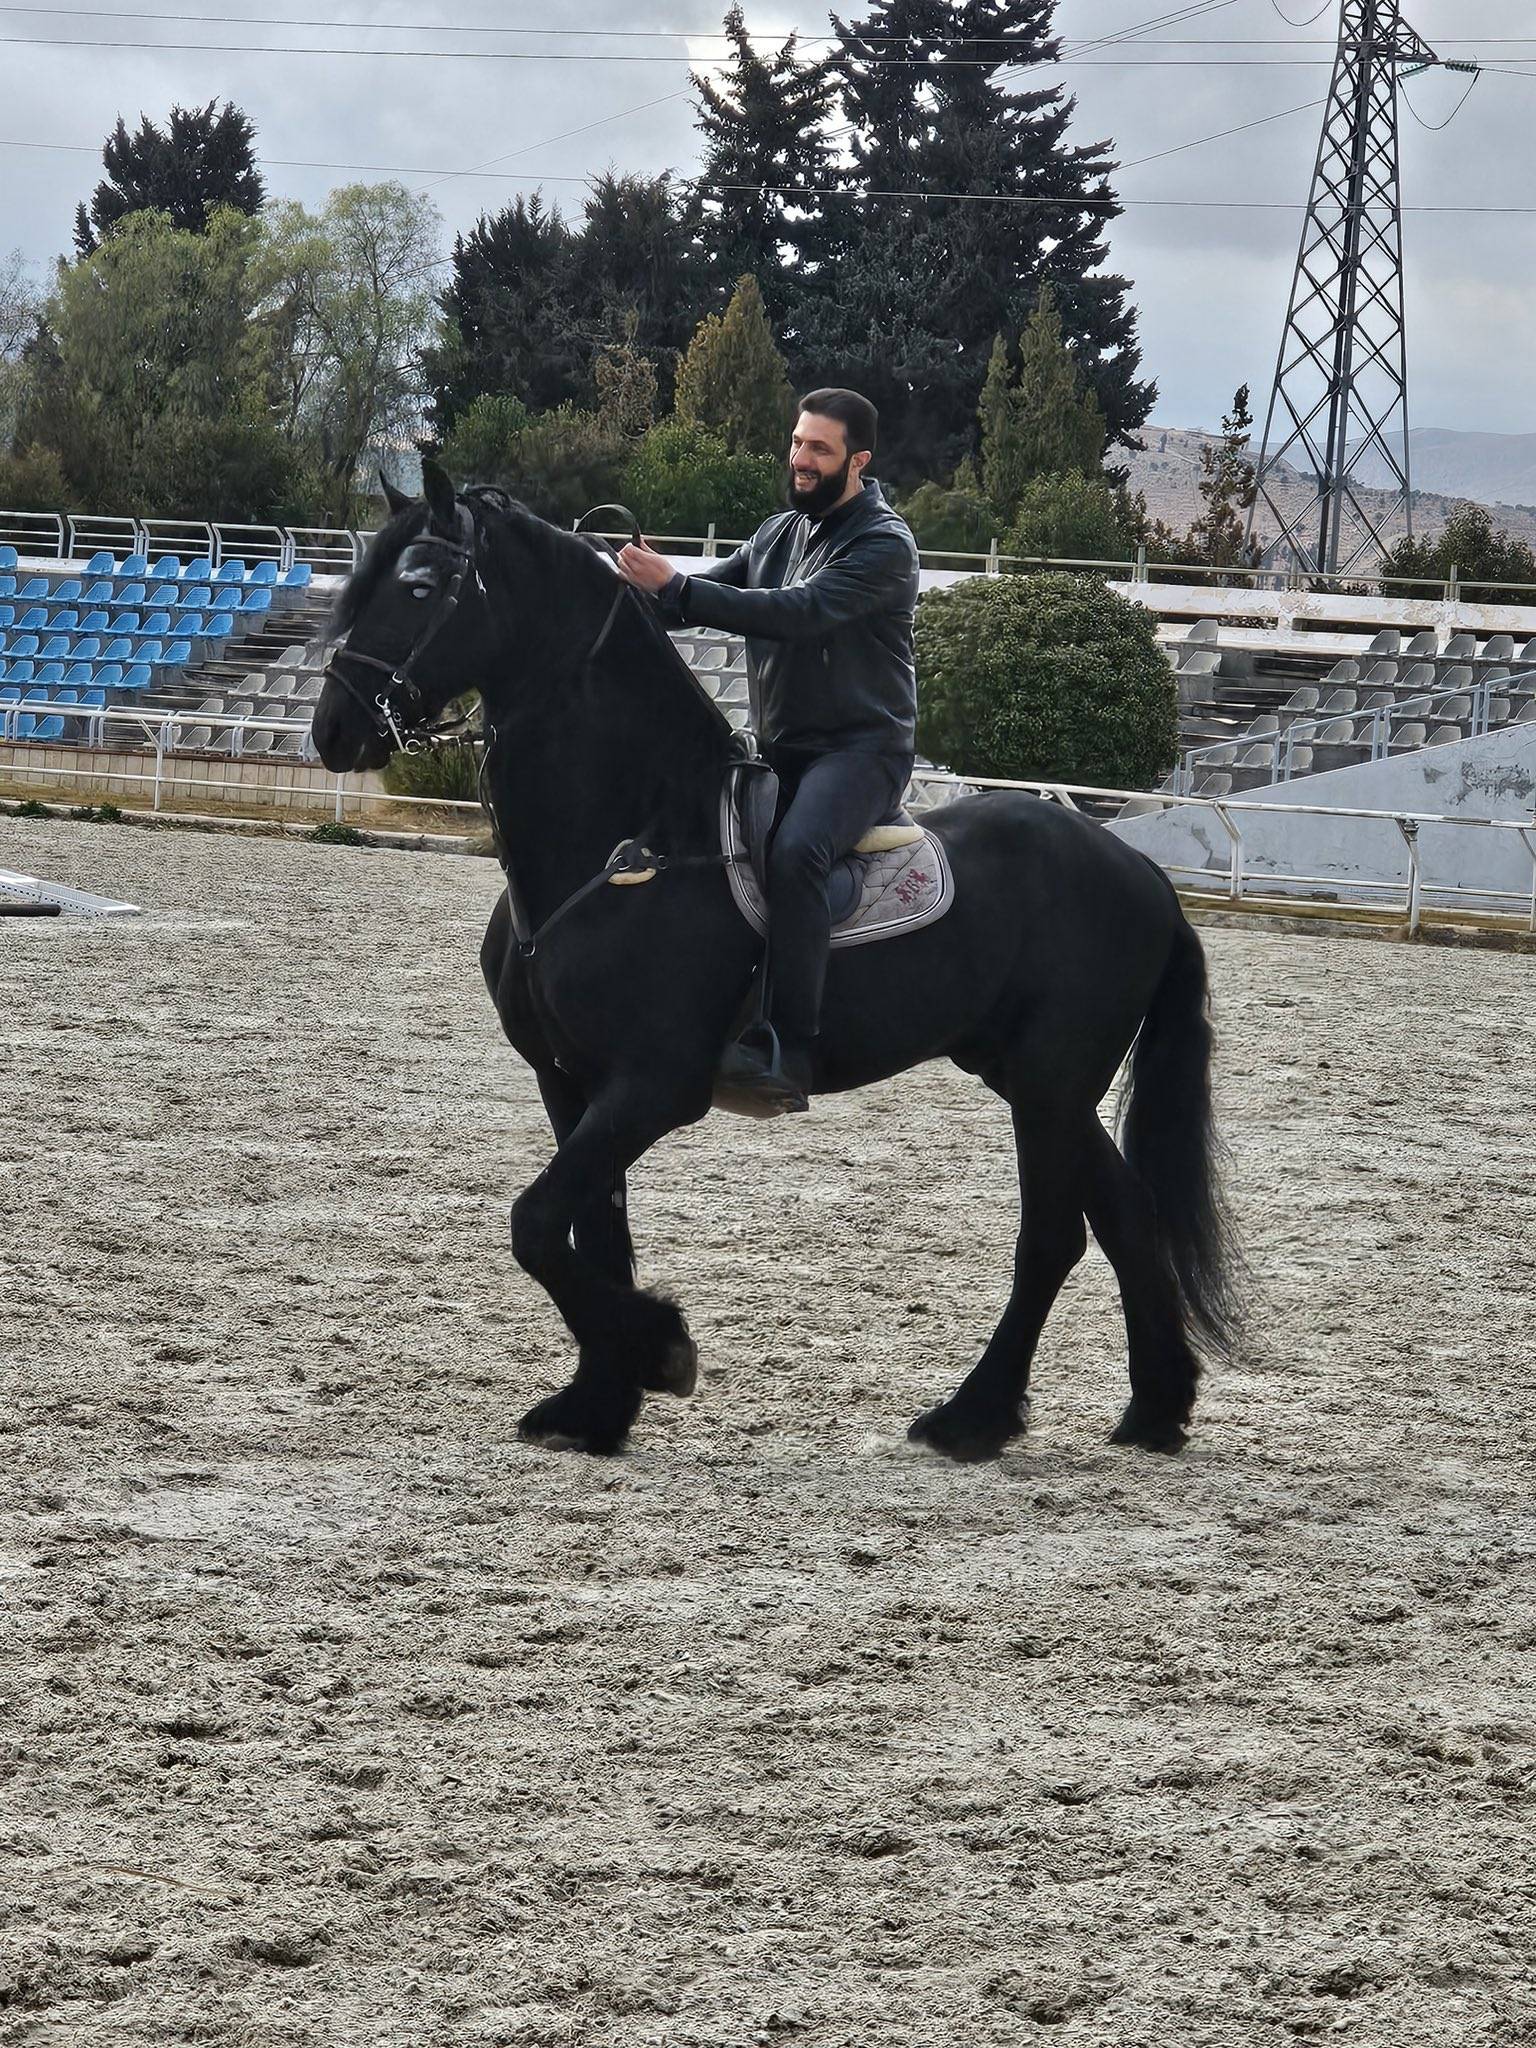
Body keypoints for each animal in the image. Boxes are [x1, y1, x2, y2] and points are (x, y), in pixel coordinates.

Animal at [311, 462, 1243, 1462]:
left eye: (420, 585)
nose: (333, 730)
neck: (638, 836)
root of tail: (1142, 875)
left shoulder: (653, 1087)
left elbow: (535, 1226)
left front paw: (659, 1350)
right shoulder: (569, 1081)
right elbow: (590, 1235)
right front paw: (597, 1402)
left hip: (1049, 1083)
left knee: (1054, 1239)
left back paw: (974, 1416)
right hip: (1034, 1078)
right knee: (1127, 1217)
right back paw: (1154, 1409)